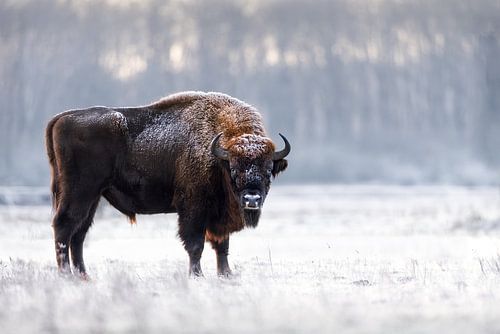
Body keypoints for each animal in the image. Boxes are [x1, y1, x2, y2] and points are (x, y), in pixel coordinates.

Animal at [47, 90, 290, 276]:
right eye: (233, 169)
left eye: (268, 170)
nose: (252, 199)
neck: (217, 153)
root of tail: (62, 117)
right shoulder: (193, 209)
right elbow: (195, 245)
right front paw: (197, 275)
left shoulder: (219, 215)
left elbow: (222, 245)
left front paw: (226, 275)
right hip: (79, 193)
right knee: (64, 226)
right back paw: (67, 275)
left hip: (94, 197)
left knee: (79, 233)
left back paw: (83, 276)